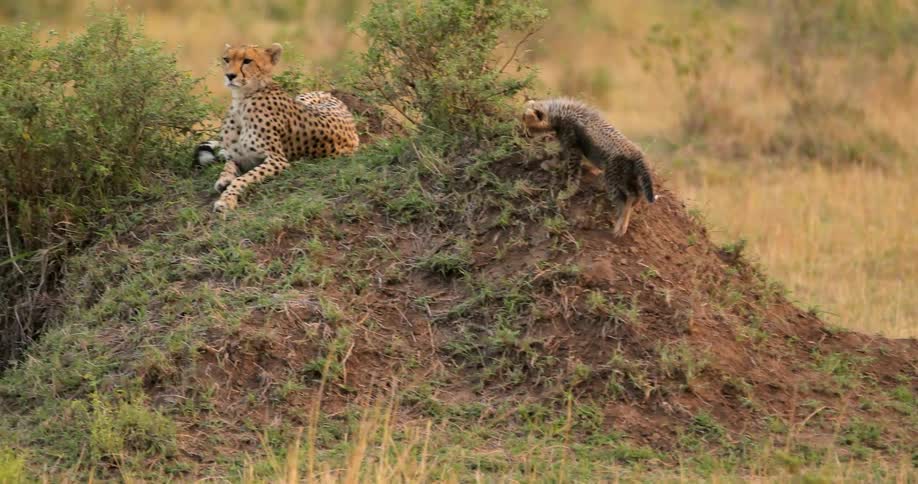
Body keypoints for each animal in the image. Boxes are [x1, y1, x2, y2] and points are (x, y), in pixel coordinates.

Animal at [196, 43, 359, 212]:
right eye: (226, 59)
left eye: (247, 61)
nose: (229, 76)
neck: (242, 99)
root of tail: (334, 97)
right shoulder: (240, 156)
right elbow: (229, 165)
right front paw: (224, 179)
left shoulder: (277, 160)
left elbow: (244, 178)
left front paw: (226, 200)